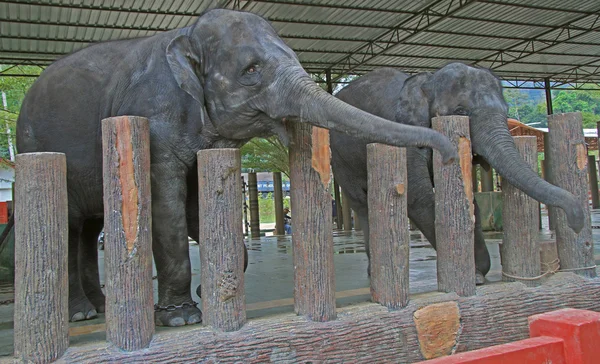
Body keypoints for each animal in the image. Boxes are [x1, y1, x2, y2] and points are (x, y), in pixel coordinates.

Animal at [15, 9, 454, 328]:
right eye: (252, 70)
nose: (449, 153)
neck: (186, 33)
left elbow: (198, 210)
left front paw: (211, 292)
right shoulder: (152, 121)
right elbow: (168, 207)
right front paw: (181, 317)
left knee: (89, 228)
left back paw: (101, 308)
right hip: (36, 146)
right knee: (69, 226)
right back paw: (81, 313)